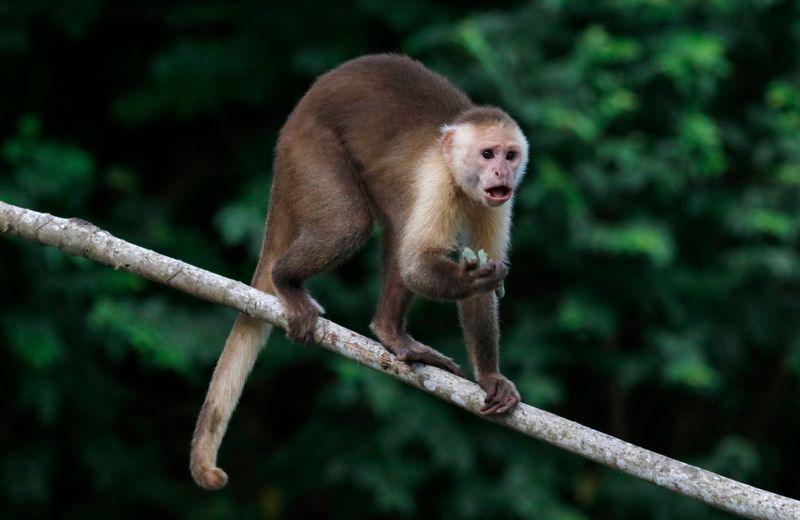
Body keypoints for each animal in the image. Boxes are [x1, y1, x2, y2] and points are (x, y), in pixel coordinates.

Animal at [190, 54, 528, 490]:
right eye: (487, 154)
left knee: (396, 224)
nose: (502, 173)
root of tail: (295, 117)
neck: (459, 177)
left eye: (509, 155)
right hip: (308, 148)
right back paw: (285, 281)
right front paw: (472, 278)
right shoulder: (438, 180)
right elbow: (416, 265)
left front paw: (489, 376)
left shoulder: (497, 201)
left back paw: (390, 333)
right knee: (350, 224)